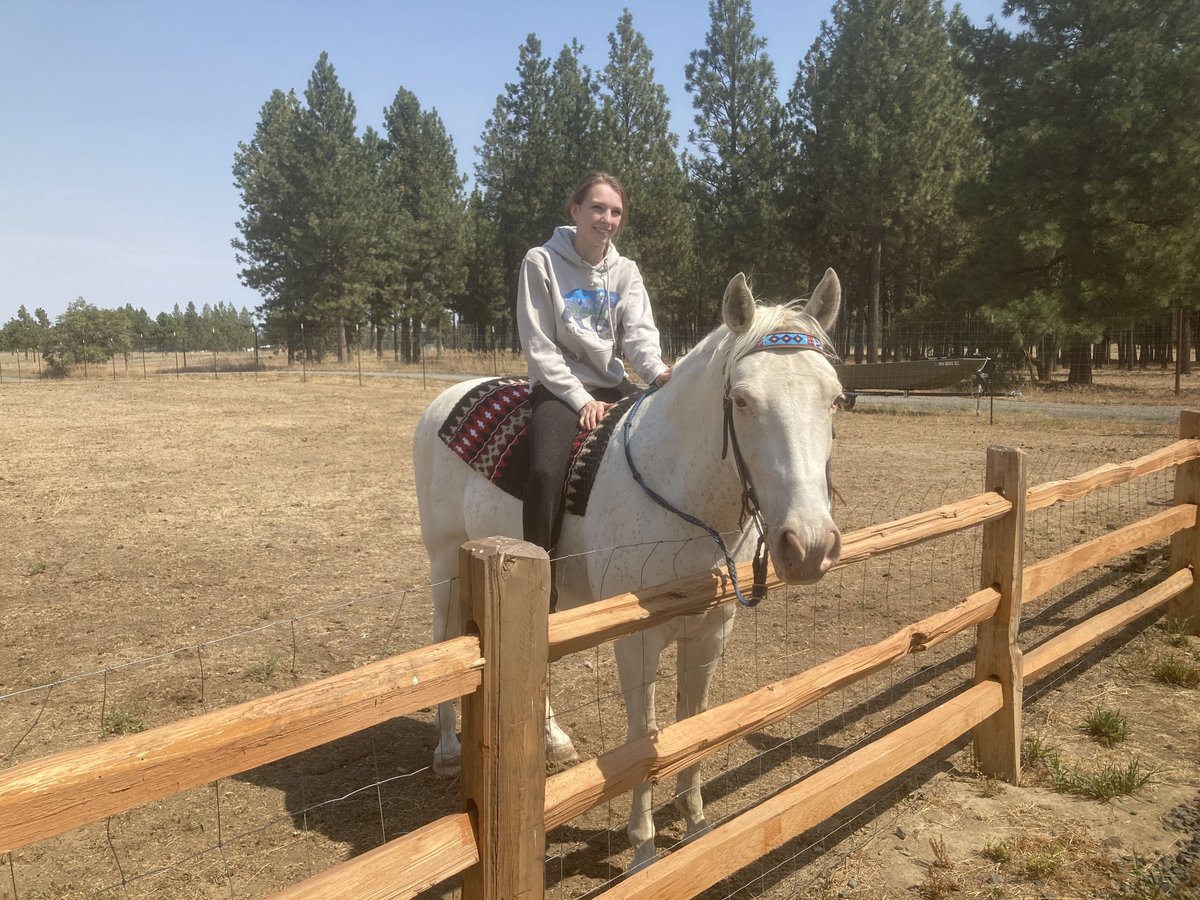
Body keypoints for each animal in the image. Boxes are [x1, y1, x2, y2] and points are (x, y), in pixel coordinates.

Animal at [412, 270, 844, 873]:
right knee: (443, 639)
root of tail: (450, 396)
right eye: (742, 399)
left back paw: (553, 741)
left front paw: (696, 827)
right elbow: (644, 736)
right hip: (446, 562)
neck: (684, 500)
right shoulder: (636, 641)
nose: (808, 545)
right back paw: (449, 750)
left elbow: (693, 723)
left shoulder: (711, 632)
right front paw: (642, 848)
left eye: (836, 399)